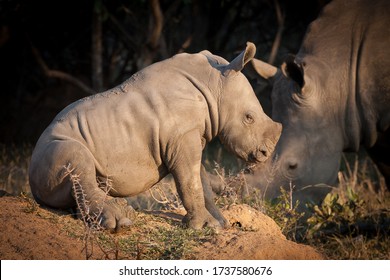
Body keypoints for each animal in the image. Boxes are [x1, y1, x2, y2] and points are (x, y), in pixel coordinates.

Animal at [29, 42, 282, 230]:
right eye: (248, 117)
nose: (265, 152)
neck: (214, 84)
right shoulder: (182, 137)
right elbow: (190, 182)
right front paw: (205, 226)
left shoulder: (190, 136)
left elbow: (200, 180)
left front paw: (220, 223)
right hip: (53, 147)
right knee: (76, 157)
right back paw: (120, 222)